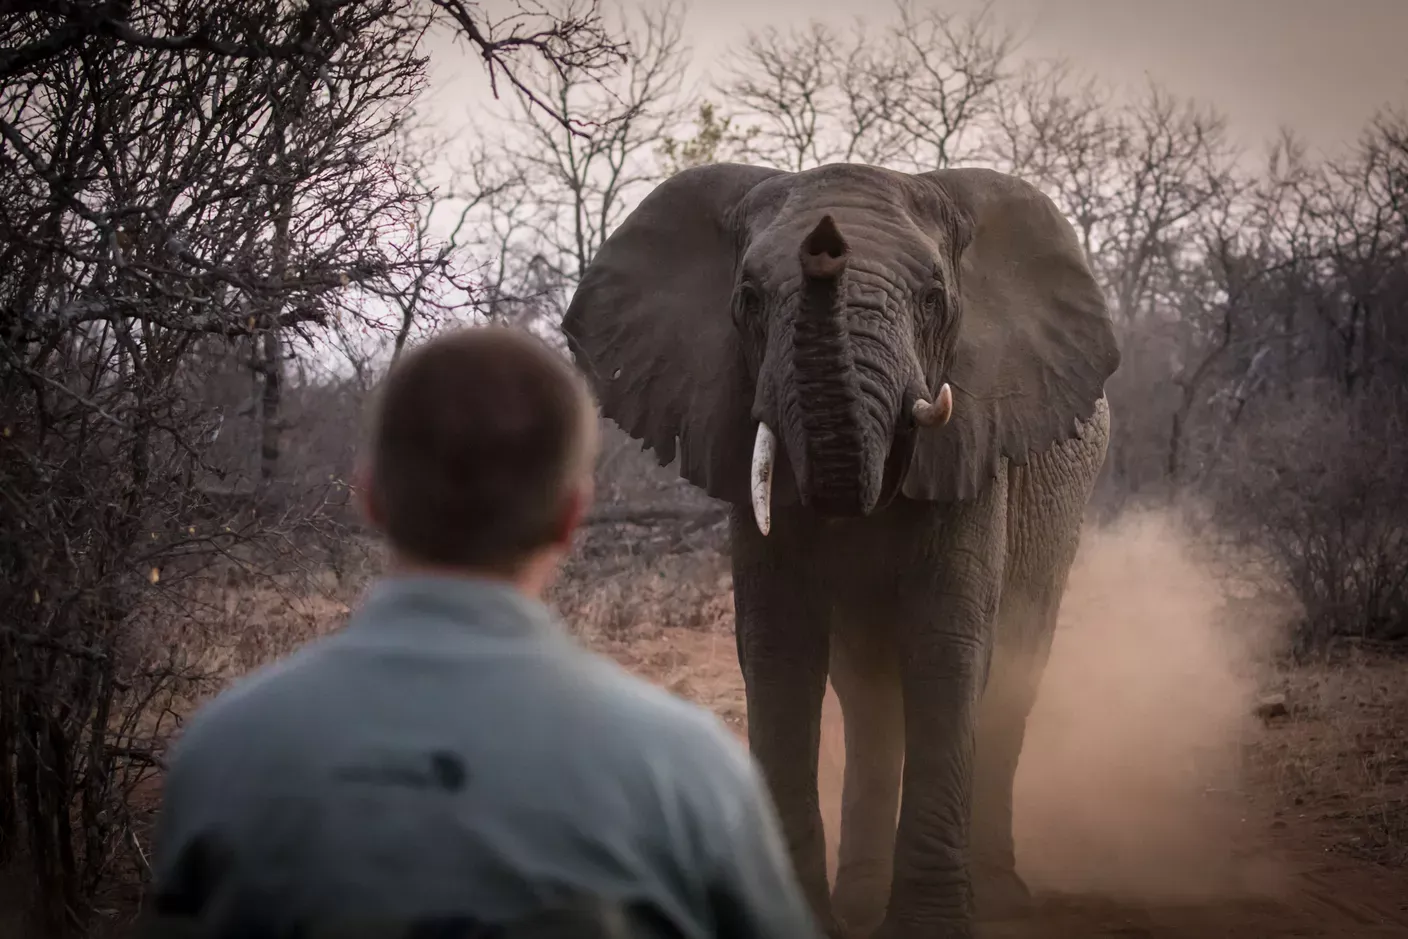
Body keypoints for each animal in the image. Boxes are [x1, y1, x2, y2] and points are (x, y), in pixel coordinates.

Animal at [561, 161, 1120, 939]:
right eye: (749, 299)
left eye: (934, 299)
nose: (825, 241)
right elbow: (780, 649)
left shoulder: (976, 443)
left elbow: (948, 646)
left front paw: (931, 927)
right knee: (867, 692)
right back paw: (860, 899)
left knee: (1014, 664)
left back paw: (1002, 899)